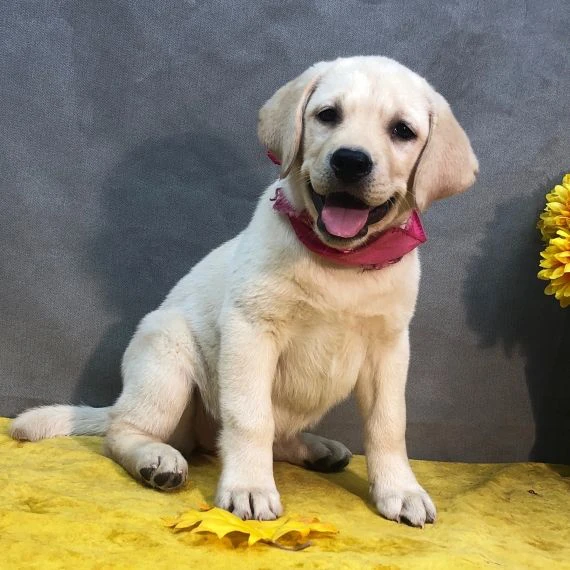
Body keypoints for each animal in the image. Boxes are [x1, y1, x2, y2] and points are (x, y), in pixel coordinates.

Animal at [12, 56, 474, 524]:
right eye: (328, 115)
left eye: (402, 131)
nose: (349, 161)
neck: (337, 261)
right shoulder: (252, 330)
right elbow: (251, 418)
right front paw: (249, 488)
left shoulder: (389, 347)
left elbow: (388, 425)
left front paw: (401, 489)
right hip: (166, 358)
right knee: (123, 432)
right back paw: (155, 459)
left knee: (278, 436)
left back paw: (316, 448)